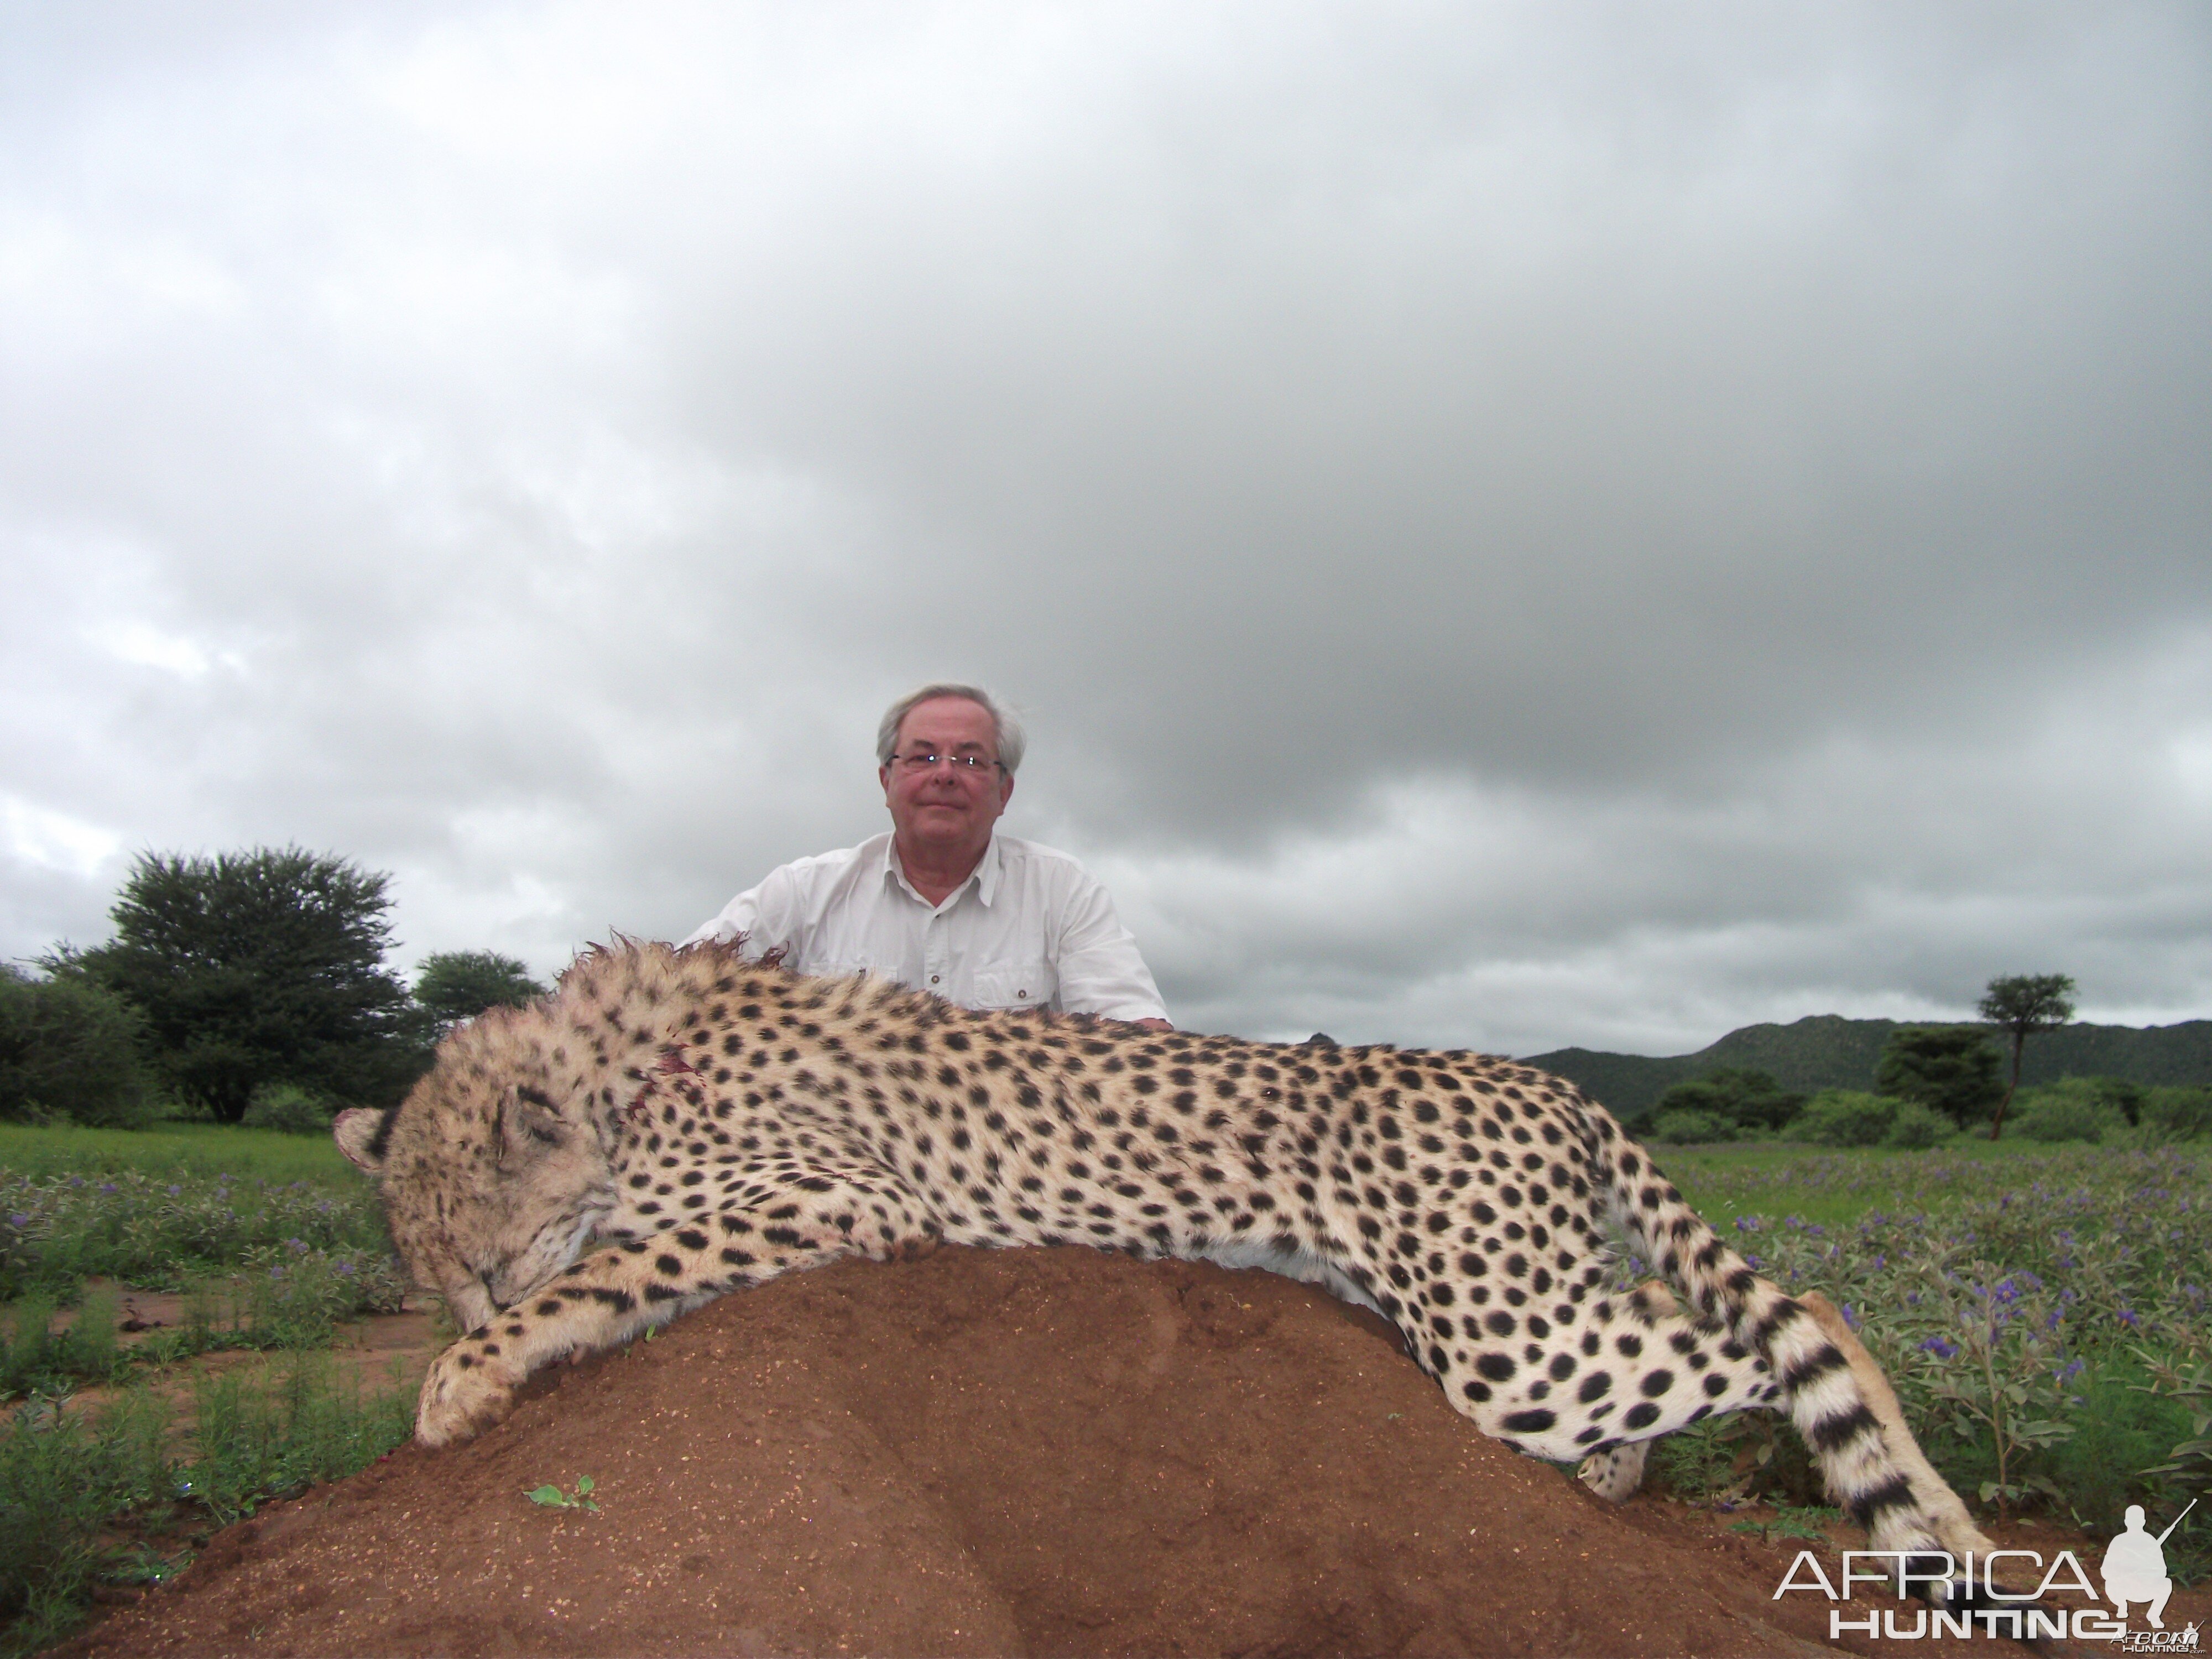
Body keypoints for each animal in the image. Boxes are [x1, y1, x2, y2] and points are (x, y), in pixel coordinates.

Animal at [336, 942, 2000, 1601]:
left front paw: (474, 1376)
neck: (622, 1076)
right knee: (1682, 1322)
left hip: (1504, 1346)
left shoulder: (836, 1198)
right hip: (1523, 1310)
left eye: (486, 1259)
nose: (470, 1310)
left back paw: (1940, 1530)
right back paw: (1630, 1485)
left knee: (1804, 1312)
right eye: (426, 1270)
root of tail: (1557, 1082)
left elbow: (612, 1268)